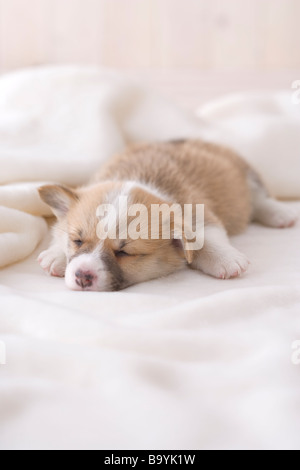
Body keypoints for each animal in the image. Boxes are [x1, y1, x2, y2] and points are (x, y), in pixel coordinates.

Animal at [38, 140, 298, 290]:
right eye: (77, 240)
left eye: (125, 253)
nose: (82, 276)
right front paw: (55, 255)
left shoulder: (199, 212)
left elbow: (203, 237)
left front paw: (226, 259)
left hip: (247, 175)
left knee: (260, 198)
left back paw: (281, 214)